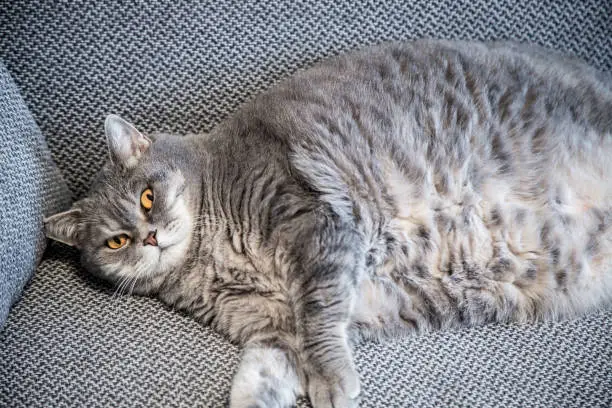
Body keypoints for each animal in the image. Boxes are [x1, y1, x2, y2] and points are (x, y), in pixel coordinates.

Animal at [44, 40, 612, 408]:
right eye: (116, 241)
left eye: (146, 197)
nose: (149, 236)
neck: (211, 261)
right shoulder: (273, 327)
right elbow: (258, 378)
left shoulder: (315, 226)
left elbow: (319, 319)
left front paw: (334, 383)